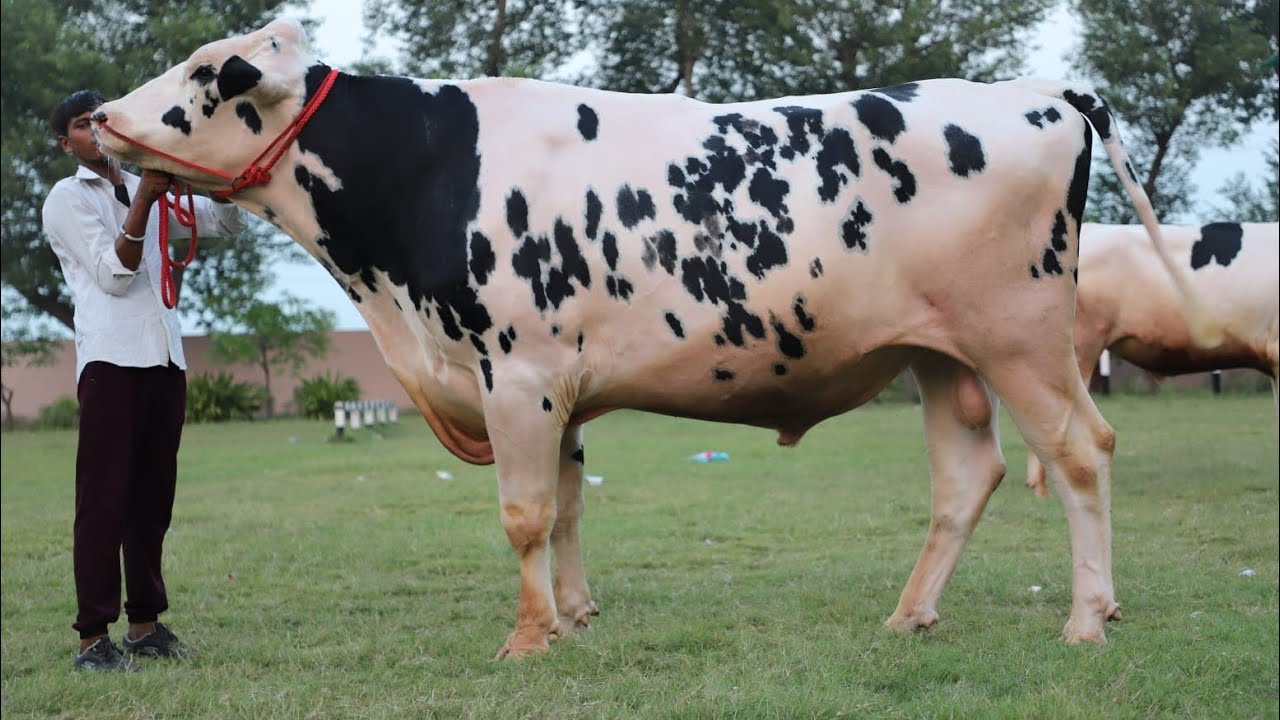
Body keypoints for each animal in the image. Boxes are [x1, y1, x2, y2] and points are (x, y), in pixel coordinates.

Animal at [92, 19, 1212, 658]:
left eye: (205, 71)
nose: (92, 114)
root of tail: (1041, 94)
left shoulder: (517, 372)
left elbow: (523, 514)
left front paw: (530, 639)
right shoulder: (555, 385)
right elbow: (570, 505)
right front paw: (576, 615)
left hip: (1020, 337)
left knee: (1079, 450)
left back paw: (1087, 618)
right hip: (942, 356)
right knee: (967, 476)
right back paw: (909, 616)